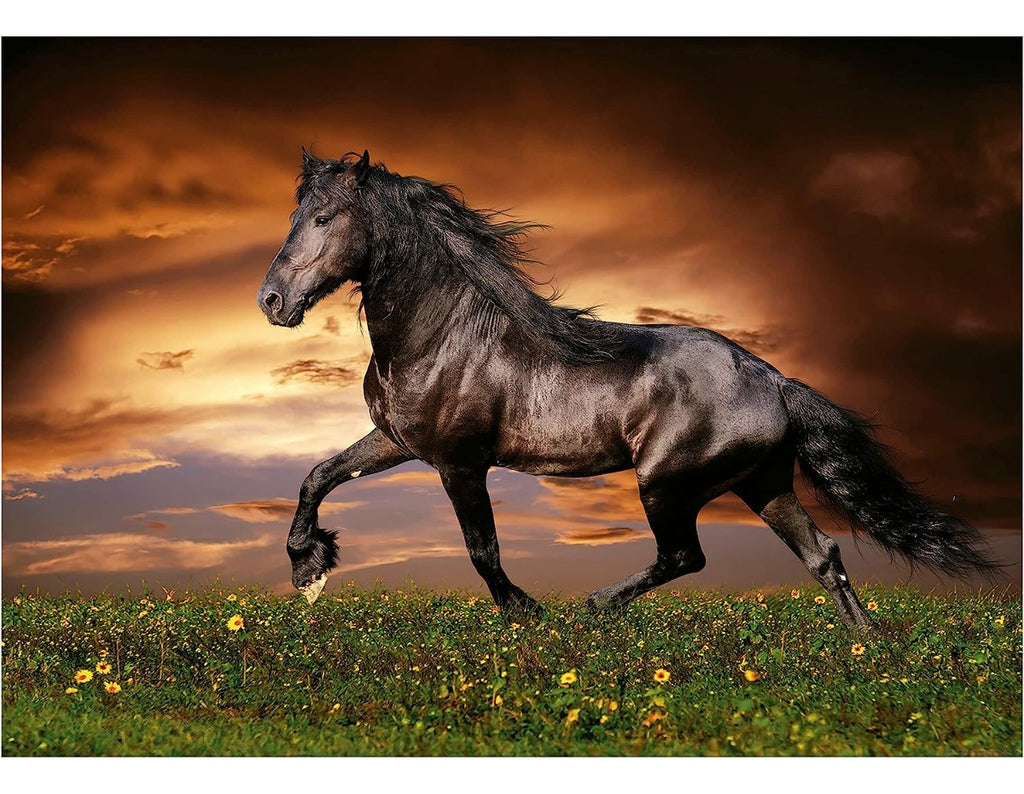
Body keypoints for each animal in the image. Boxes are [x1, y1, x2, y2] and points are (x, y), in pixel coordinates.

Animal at [256, 149, 995, 630]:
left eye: (324, 218)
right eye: (295, 214)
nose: (271, 301)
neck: (442, 334)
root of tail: (774, 380)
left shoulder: (460, 462)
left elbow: (481, 549)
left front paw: (527, 613)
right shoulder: (398, 441)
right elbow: (318, 476)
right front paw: (309, 568)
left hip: (666, 483)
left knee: (685, 555)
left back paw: (594, 607)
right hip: (763, 483)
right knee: (824, 556)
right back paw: (867, 654)